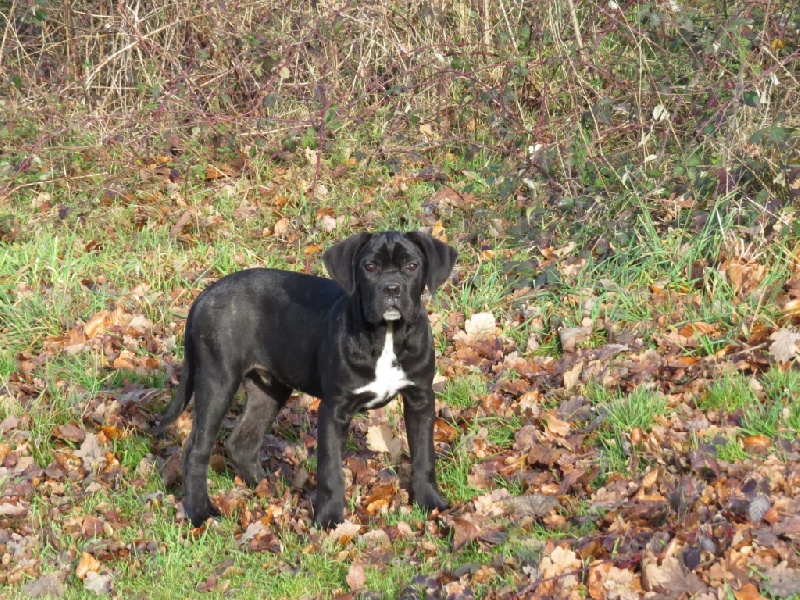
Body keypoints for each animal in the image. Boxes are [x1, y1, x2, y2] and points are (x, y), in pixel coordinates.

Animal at [155, 231, 457, 528]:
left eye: (412, 266)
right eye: (370, 267)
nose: (391, 289)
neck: (388, 335)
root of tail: (205, 294)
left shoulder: (420, 399)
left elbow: (424, 456)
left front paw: (431, 503)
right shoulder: (334, 409)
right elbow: (331, 470)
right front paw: (329, 519)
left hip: (269, 390)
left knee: (243, 442)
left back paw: (268, 488)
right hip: (217, 381)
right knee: (196, 450)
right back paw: (200, 514)